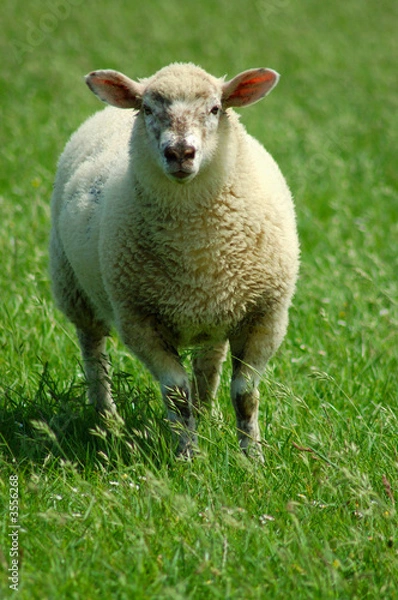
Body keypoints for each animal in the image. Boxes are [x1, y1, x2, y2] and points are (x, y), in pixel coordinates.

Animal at [49, 61, 298, 458]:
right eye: (148, 109)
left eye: (215, 109)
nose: (180, 153)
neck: (195, 247)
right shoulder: (140, 321)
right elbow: (177, 395)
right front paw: (188, 457)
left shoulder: (266, 316)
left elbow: (245, 395)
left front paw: (252, 458)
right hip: (74, 289)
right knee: (94, 355)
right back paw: (107, 421)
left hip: (217, 313)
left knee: (209, 363)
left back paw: (208, 417)